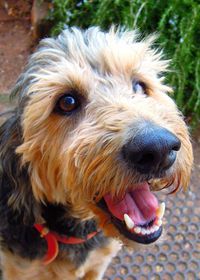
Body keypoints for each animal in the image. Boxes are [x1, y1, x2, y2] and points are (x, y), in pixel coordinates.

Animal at [0, 27, 193, 280]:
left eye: (140, 86)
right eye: (67, 102)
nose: (158, 148)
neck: (76, 232)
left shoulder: (98, 264)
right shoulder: (18, 270)